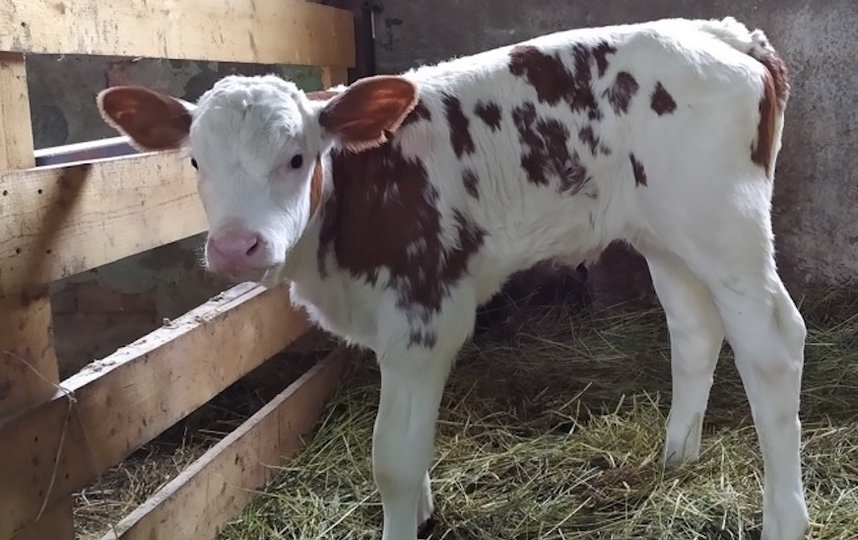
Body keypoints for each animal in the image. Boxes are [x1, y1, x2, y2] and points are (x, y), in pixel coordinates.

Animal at [100, 15, 808, 540]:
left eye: (297, 158)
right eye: (195, 161)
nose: (236, 247)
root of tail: (722, 32)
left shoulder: (423, 312)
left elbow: (393, 458)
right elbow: (411, 445)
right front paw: (423, 510)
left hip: (727, 227)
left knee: (774, 344)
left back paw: (784, 519)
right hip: (666, 233)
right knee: (694, 329)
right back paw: (675, 457)